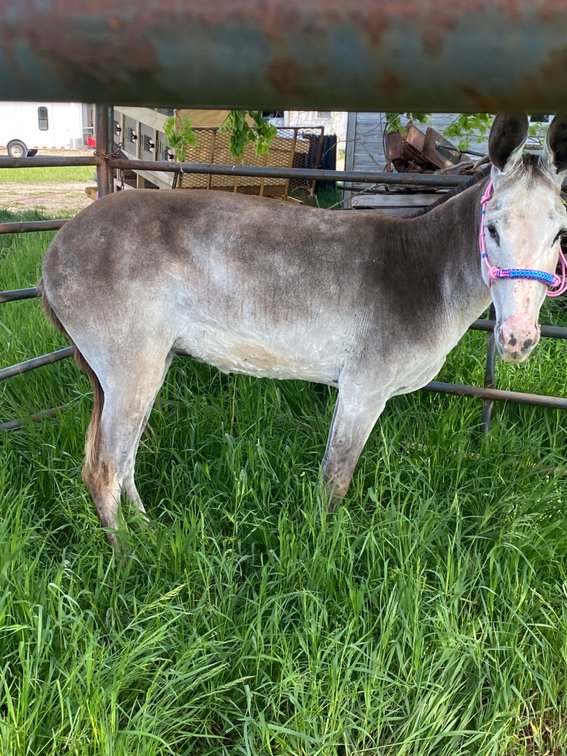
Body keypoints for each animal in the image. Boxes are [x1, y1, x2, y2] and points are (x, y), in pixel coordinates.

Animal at [39, 113, 567, 546]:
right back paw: (129, 557)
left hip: (152, 360)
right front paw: (325, 554)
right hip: (130, 364)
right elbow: (335, 479)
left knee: (124, 459)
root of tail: (57, 245)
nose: (518, 341)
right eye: (492, 229)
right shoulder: (363, 387)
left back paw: (148, 531)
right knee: (104, 469)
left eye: (559, 235)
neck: (423, 270)